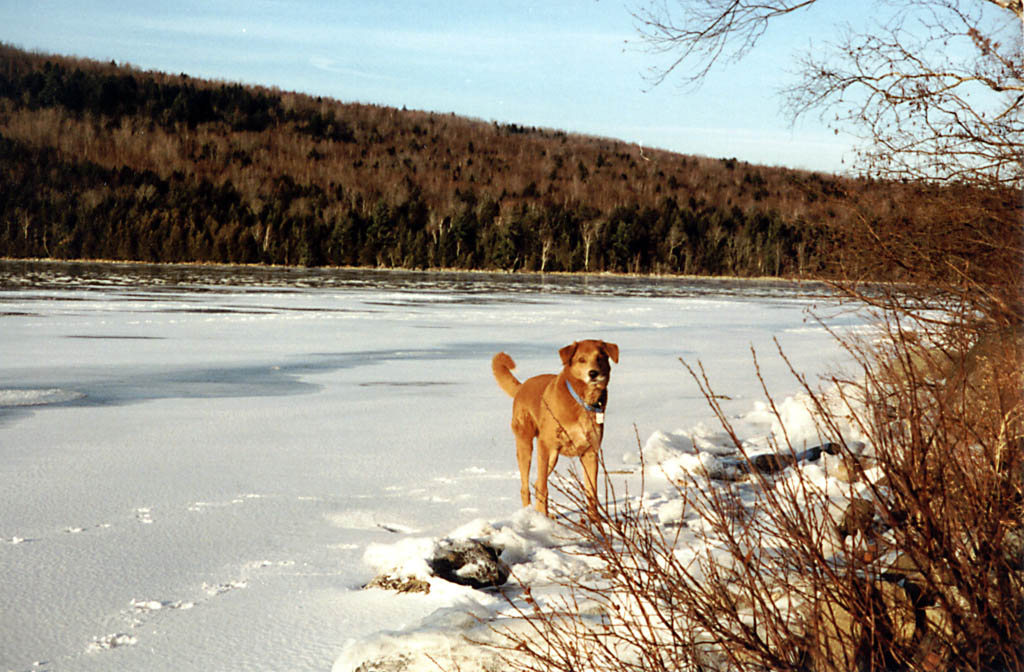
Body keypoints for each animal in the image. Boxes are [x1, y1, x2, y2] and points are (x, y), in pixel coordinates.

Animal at [491, 338, 618, 516]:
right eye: (581, 359)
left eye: (600, 358)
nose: (593, 373)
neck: (581, 400)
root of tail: (522, 387)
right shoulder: (546, 445)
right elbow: (543, 488)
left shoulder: (590, 452)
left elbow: (591, 492)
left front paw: (595, 521)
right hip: (528, 445)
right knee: (527, 486)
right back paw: (531, 514)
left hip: (552, 457)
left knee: (536, 483)